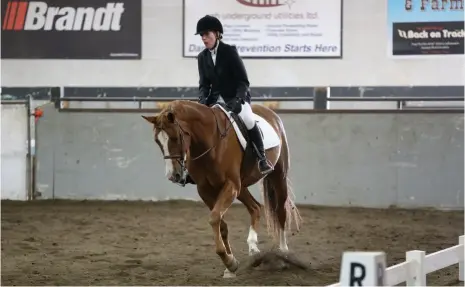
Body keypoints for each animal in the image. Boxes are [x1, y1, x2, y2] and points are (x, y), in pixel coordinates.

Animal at [141, 100, 300, 280]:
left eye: (176, 137)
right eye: (157, 141)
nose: (172, 176)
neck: (210, 142)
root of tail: (271, 113)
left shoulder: (231, 185)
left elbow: (214, 218)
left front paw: (229, 261)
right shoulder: (205, 190)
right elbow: (220, 223)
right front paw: (230, 265)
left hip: (278, 176)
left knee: (280, 212)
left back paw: (284, 254)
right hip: (242, 187)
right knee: (255, 207)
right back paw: (253, 248)